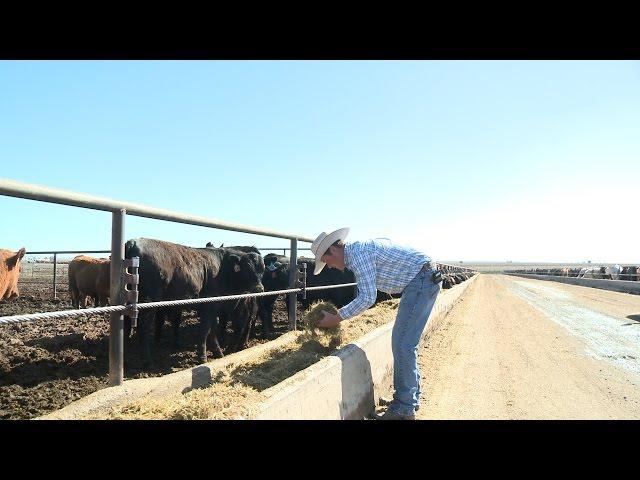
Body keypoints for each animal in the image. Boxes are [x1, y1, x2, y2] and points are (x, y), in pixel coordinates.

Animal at [125, 237, 264, 368]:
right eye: (246, 269)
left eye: (262, 270)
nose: (259, 289)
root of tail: (132, 242)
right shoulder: (209, 306)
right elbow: (205, 329)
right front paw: (202, 357)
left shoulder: (213, 309)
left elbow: (212, 329)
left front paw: (218, 352)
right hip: (149, 303)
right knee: (143, 328)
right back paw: (147, 362)